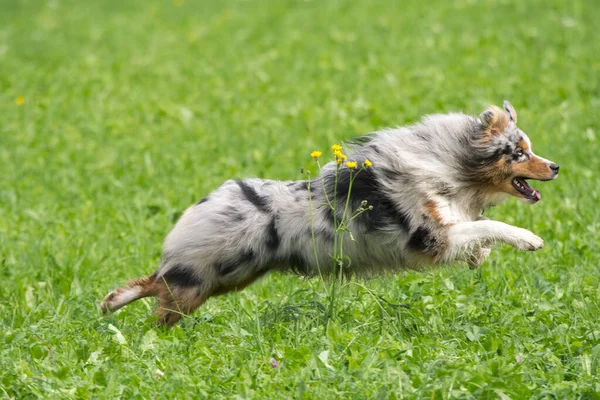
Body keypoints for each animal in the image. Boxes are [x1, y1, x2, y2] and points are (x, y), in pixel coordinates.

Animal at [101, 101, 560, 326]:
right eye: (519, 153)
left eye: (531, 149)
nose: (556, 166)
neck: (451, 166)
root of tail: (209, 199)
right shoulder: (430, 238)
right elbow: (491, 224)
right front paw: (529, 240)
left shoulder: (448, 226)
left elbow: (478, 226)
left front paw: (479, 257)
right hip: (206, 275)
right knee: (159, 292)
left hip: (228, 277)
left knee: (155, 285)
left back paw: (110, 303)